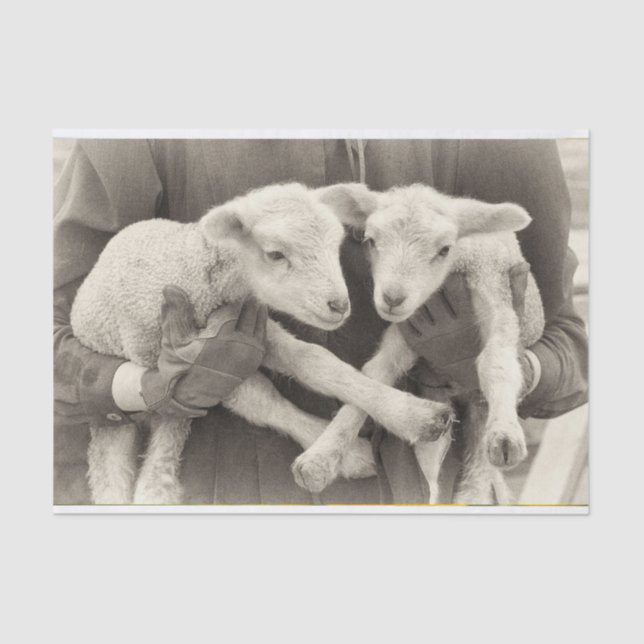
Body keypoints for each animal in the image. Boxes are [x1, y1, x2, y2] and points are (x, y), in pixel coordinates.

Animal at [291, 183, 545, 504]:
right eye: (370, 240)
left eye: (444, 249)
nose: (392, 298)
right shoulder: (409, 329)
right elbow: (374, 375)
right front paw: (321, 458)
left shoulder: (498, 299)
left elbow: (496, 363)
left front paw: (506, 434)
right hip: (438, 409)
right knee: (432, 472)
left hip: (477, 411)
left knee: (477, 475)